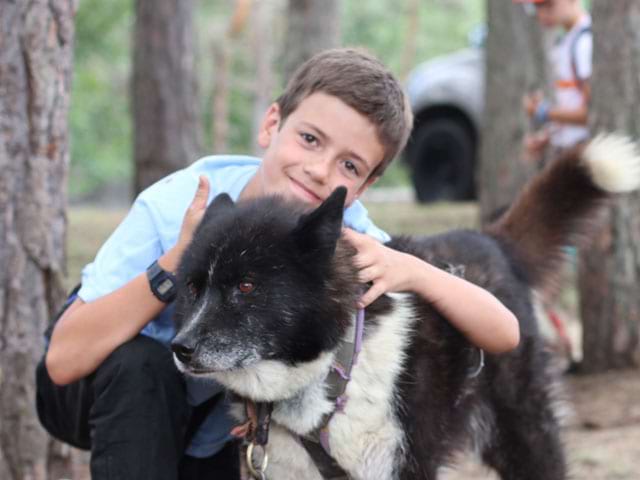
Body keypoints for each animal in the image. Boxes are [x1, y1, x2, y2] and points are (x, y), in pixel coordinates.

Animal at [170, 135, 640, 480]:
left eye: (246, 286)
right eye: (192, 288)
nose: (180, 348)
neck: (335, 369)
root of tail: (490, 239)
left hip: (522, 432)